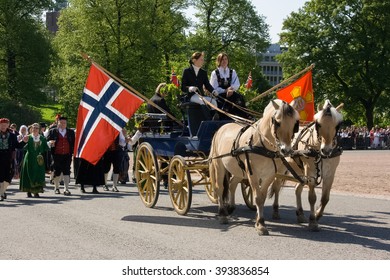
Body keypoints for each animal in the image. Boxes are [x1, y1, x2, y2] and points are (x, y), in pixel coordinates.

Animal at [210, 99, 298, 235]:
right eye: (277, 122)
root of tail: (221, 128)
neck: (263, 145)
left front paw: (259, 222)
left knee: (232, 184)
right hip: (219, 166)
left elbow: (262, 198)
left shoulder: (269, 175)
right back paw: (223, 214)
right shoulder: (253, 174)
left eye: (294, 123)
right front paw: (260, 224)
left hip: (238, 170)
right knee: (219, 188)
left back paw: (231, 207)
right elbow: (257, 197)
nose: (286, 150)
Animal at [270, 99, 342, 231]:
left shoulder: (330, 174)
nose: (326, 150)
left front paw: (317, 215)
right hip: (282, 169)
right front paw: (313, 221)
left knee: (297, 189)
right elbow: (312, 198)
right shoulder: (311, 173)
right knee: (277, 187)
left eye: (337, 125)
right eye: (318, 124)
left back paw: (300, 214)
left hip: (300, 171)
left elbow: (325, 198)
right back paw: (276, 211)